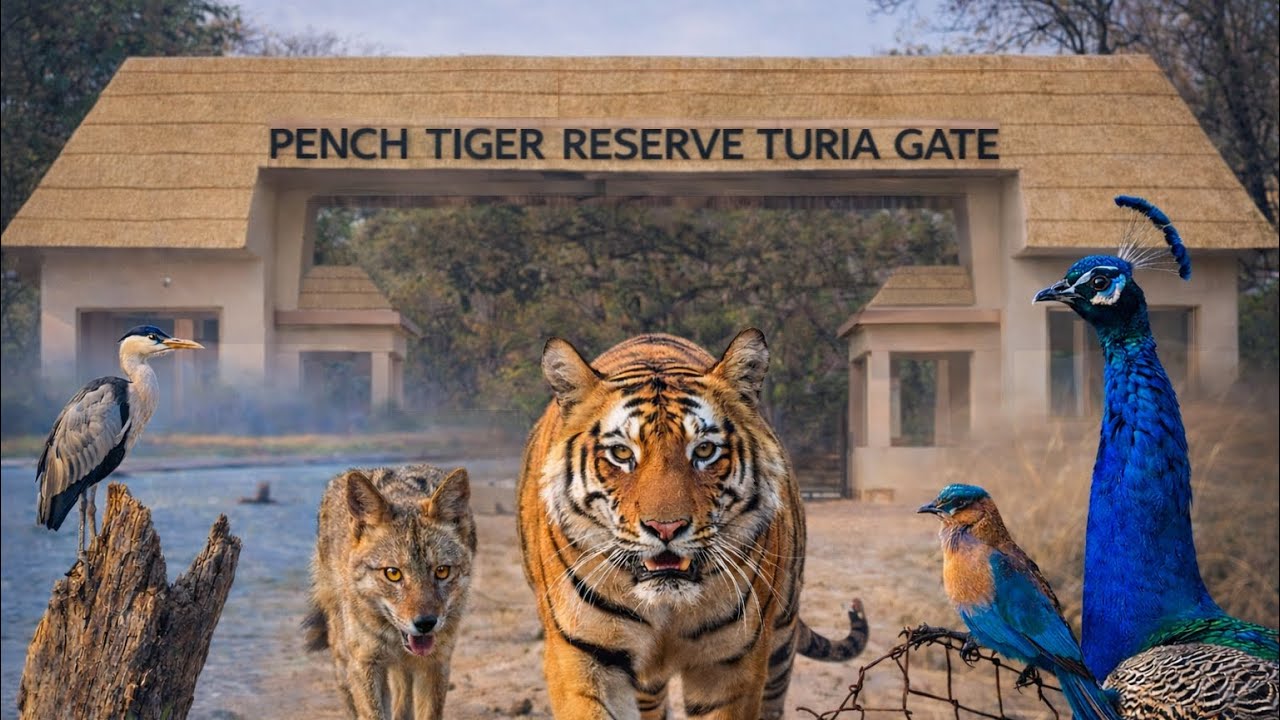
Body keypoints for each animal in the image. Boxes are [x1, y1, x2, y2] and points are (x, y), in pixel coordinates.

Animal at [517, 328, 869, 720]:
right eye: (622, 454)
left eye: (704, 451)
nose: (666, 528)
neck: (666, 609)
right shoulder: (583, 657)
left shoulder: (731, 662)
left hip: (782, 636)